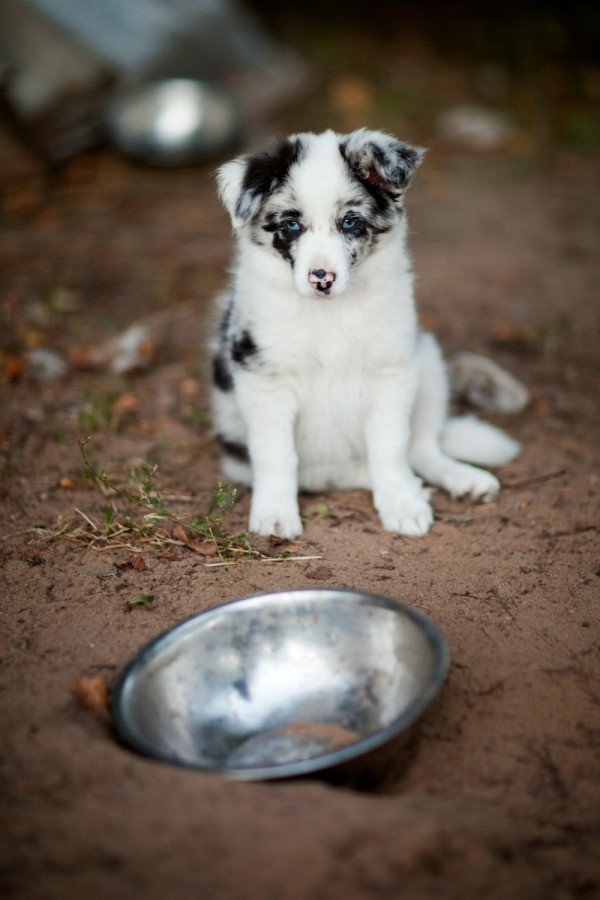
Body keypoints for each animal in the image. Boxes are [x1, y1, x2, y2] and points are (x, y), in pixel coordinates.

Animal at [212, 129, 520, 536]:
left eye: (350, 223)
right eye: (291, 225)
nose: (322, 278)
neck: (330, 314)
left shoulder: (393, 370)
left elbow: (390, 447)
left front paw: (402, 502)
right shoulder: (263, 377)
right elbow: (276, 455)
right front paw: (275, 514)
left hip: (427, 360)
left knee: (421, 448)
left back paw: (459, 479)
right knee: (322, 474)